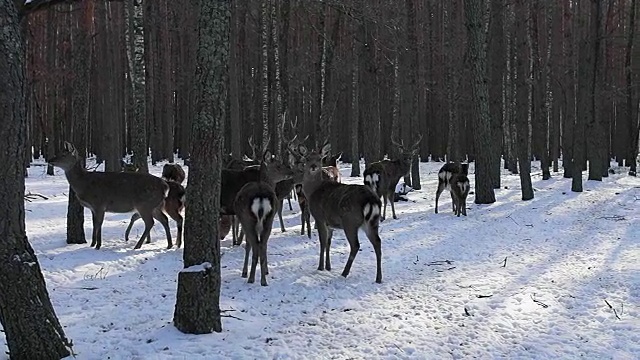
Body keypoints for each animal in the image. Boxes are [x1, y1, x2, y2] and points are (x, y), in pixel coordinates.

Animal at [234, 150, 284, 286]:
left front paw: (244, 272)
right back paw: (263, 280)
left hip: (248, 220)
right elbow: (264, 246)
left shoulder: (244, 223)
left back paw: (251, 278)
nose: (292, 172)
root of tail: (261, 198)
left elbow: (248, 246)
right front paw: (266, 271)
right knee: (262, 245)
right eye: (278, 165)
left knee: (256, 245)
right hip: (268, 220)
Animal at [298, 143, 382, 284]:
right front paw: (328, 266)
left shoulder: (319, 217)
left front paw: (320, 267)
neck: (313, 191)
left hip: (350, 221)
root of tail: (371, 200)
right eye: (308, 158)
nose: (313, 166)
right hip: (372, 222)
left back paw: (345, 273)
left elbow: (322, 242)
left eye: (320, 159)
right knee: (377, 242)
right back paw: (378, 278)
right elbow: (328, 243)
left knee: (355, 245)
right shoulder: (330, 223)